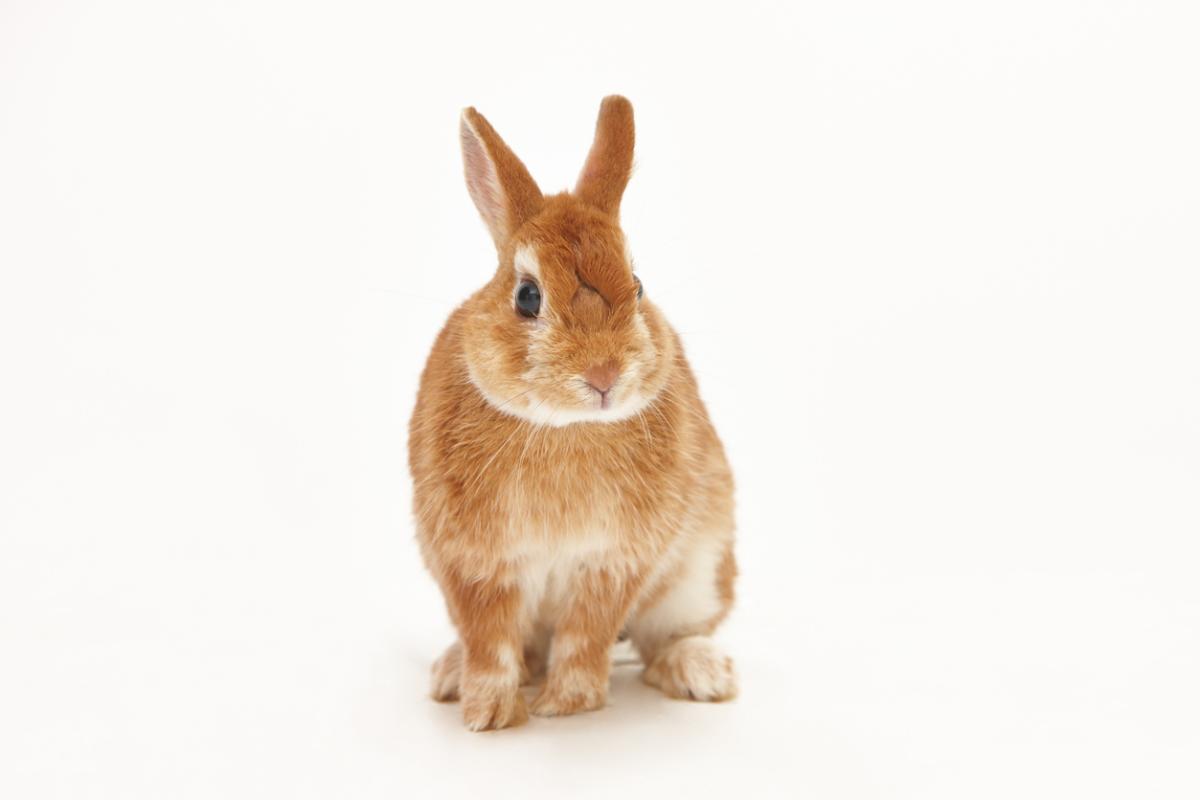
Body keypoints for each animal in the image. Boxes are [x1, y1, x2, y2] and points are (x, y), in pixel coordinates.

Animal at [409, 96, 737, 731]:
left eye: (638, 285)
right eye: (527, 297)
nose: (604, 375)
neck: (564, 428)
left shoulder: (612, 563)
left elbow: (586, 637)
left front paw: (567, 706)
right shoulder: (475, 564)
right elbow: (490, 641)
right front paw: (488, 713)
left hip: (700, 571)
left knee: (664, 640)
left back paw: (703, 672)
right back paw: (450, 674)